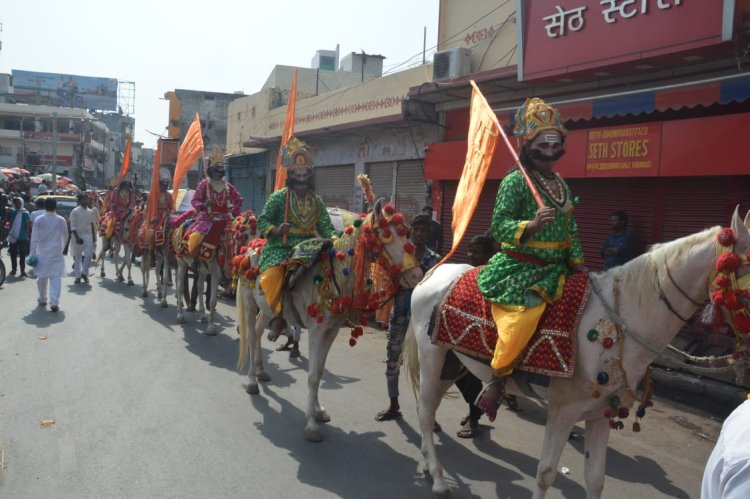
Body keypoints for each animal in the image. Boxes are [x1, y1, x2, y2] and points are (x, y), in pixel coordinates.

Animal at [238, 199, 426, 442]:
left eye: (406, 233)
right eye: (386, 235)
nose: (416, 276)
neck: (334, 275)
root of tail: (250, 248)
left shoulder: (332, 331)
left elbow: (318, 372)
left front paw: (318, 411)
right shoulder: (316, 331)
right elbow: (311, 376)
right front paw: (311, 426)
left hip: (269, 308)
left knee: (260, 331)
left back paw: (261, 371)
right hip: (250, 303)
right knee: (252, 337)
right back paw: (252, 381)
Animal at [408, 209, 750, 498]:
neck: (620, 324)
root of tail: (435, 272)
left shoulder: (600, 413)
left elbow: (596, 478)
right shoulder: (563, 412)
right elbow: (546, 473)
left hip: (452, 364)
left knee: (430, 409)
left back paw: (426, 464)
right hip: (432, 358)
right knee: (424, 412)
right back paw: (438, 478)